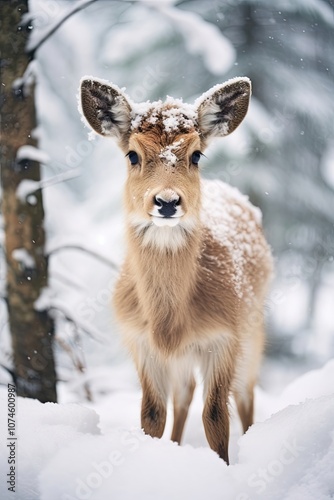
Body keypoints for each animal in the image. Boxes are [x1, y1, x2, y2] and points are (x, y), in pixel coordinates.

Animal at [79, 75, 272, 464]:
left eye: (196, 154)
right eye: (132, 155)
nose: (166, 201)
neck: (169, 322)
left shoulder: (224, 338)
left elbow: (215, 417)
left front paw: (224, 465)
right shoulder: (142, 342)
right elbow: (152, 413)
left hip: (253, 326)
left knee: (246, 394)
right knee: (184, 394)